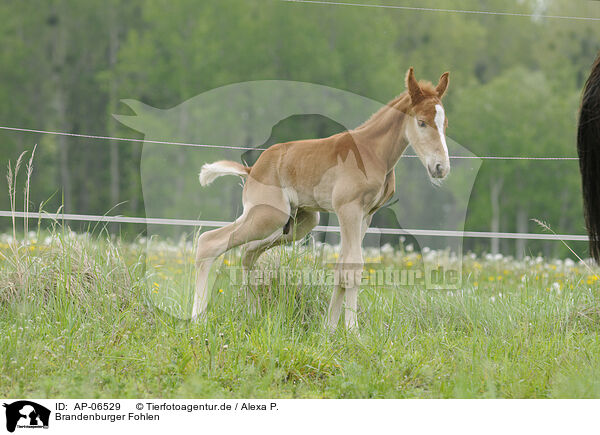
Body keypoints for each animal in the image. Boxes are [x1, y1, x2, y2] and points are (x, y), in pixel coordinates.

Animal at [195, 69, 448, 330]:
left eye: (444, 123)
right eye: (421, 122)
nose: (440, 167)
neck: (372, 152)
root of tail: (252, 169)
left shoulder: (365, 216)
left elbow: (341, 267)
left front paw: (329, 328)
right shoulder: (349, 209)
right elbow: (353, 267)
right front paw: (352, 330)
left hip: (299, 222)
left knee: (248, 253)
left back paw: (253, 312)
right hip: (269, 215)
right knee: (209, 241)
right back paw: (198, 317)